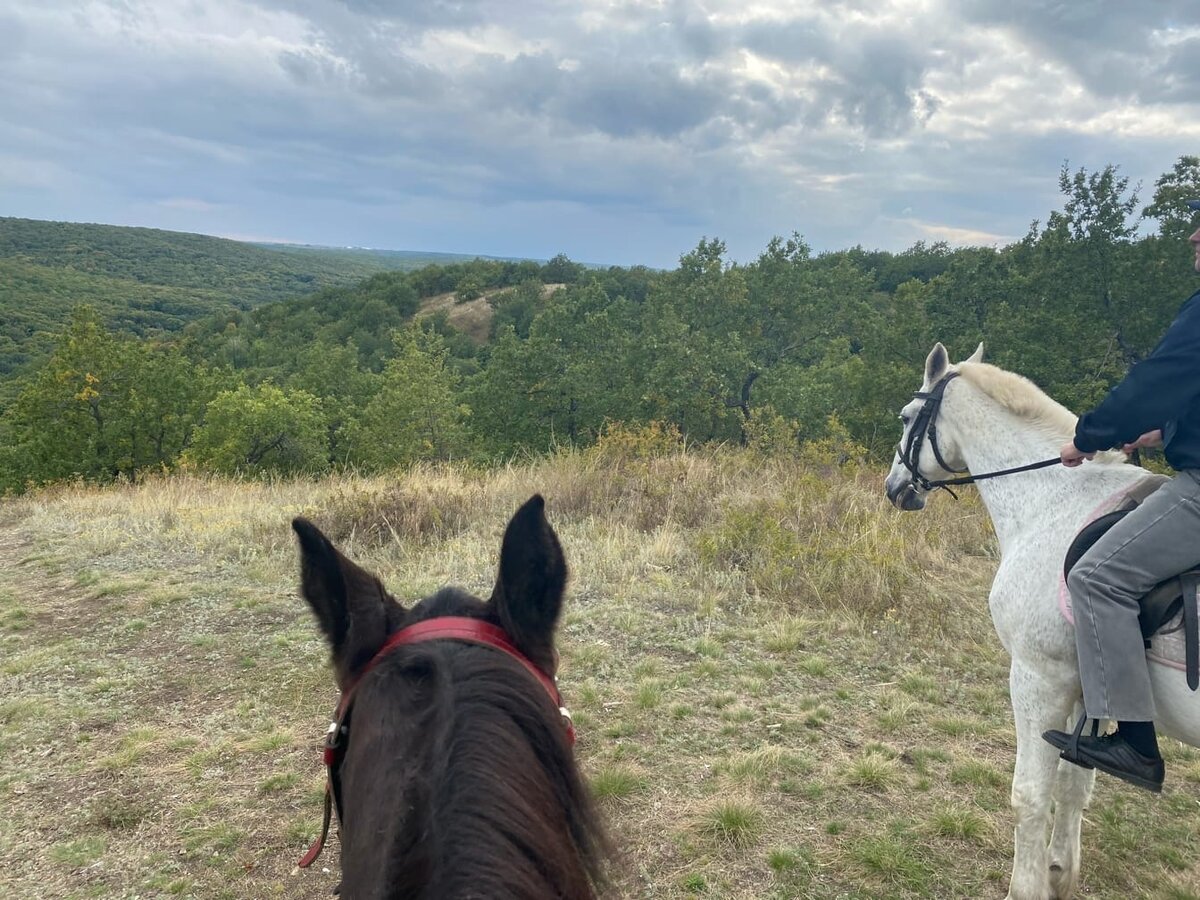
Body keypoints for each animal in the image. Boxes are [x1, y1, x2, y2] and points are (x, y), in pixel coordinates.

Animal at [883, 343, 1200, 900]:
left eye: (905, 417)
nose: (895, 487)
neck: (1052, 503)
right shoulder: (1086, 687)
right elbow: (1076, 784)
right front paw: (1058, 872)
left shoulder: (1039, 678)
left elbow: (1029, 794)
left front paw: (1027, 886)